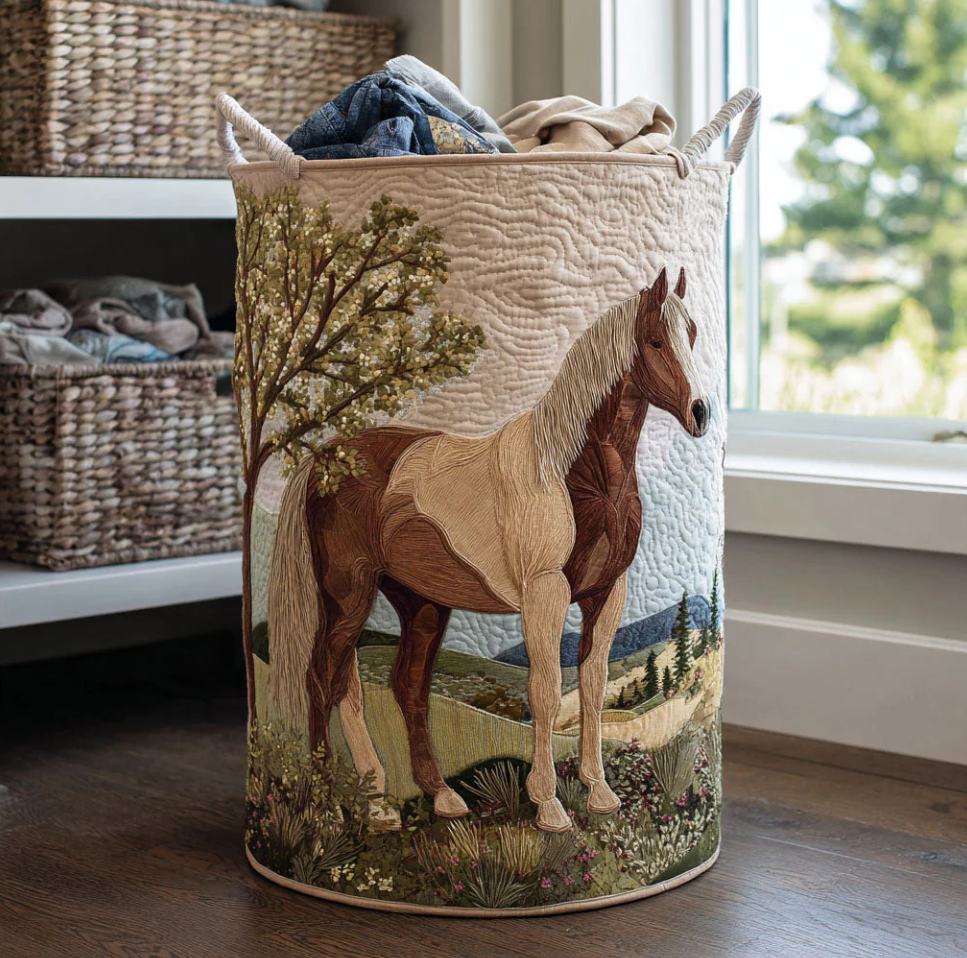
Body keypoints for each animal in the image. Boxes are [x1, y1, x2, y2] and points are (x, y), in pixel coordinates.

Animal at [267, 265, 710, 832]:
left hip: (418, 602)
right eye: (655, 340)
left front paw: (599, 792)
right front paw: (549, 805)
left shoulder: (607, 592)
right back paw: (326, 807)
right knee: (323, 679)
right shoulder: (545, 593)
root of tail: (327, 457)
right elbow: (546, 692)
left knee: (395, 688)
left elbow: (591, 685)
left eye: (692, 334)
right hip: (349, 593)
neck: (572, 472)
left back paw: (408, 799)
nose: (701, 412)